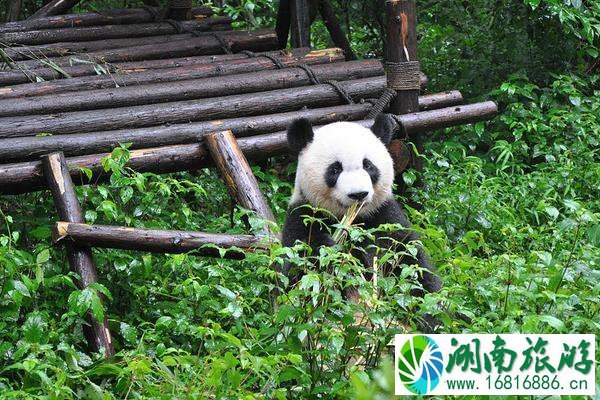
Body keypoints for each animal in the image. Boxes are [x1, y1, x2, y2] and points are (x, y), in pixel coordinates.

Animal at [280, 114, 440, 296]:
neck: (353, 220)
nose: (358, 194)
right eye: (335, 169)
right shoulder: (304, 214)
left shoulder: (384, 216)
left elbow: (410, 261)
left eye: (368, 165)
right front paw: (328, 247)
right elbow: (298, 272)